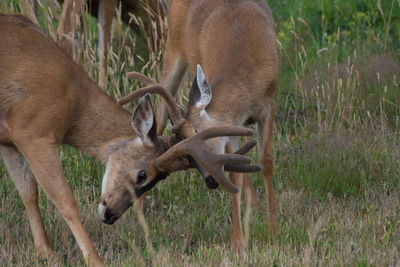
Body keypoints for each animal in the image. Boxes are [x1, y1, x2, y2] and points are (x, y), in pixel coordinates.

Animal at [0, 13, 260, 264]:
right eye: (142, 174)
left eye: (158, 180)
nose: (110, 216)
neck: (72, 104)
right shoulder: (33, 131)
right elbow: (64, 199)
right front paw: (94, 259)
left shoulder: (10, 140)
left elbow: (28, 193)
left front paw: (46, 253)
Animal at [120, 0, 280, 251]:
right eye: (187, 156)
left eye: (199, 133)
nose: (211, 181)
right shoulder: (233, 125)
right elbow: (234, 174)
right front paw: (238, 242)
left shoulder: (267, 104)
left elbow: (266, 162)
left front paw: (273, 227)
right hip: (173, 49)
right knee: (158, 120)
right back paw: (139, 207)